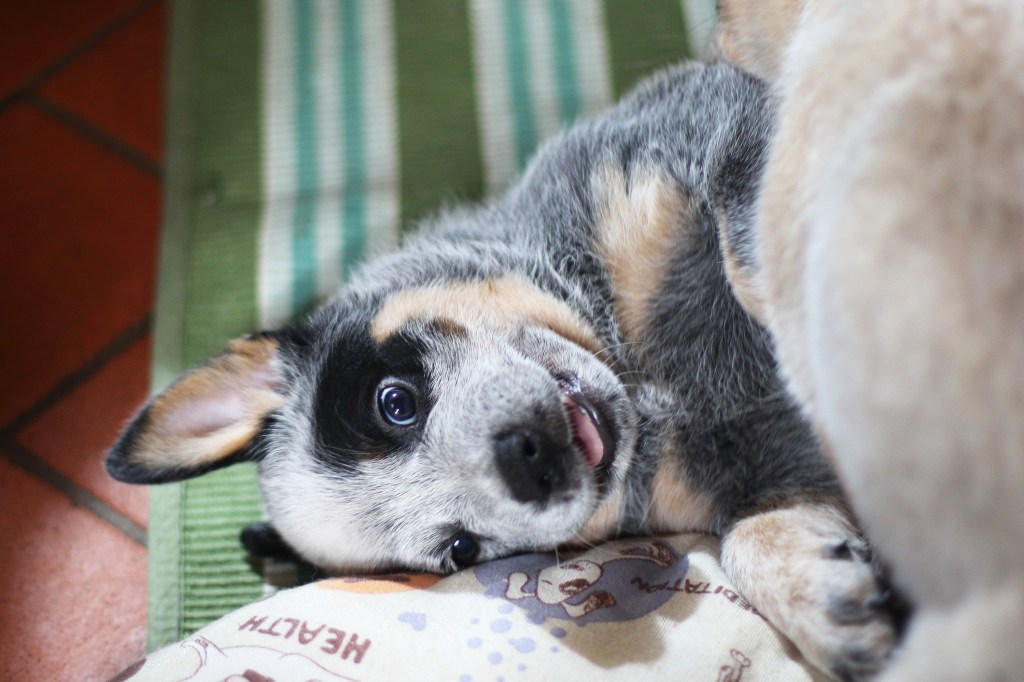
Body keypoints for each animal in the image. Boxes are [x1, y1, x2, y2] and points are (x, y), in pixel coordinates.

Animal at [108, 62, 897, 675]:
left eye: (395, 401)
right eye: (461, 548)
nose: (528, 461)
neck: (648, 386)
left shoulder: (704, 119)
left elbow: (753, 254)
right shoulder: (768, 482)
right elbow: (746, 538)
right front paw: (830, 607)